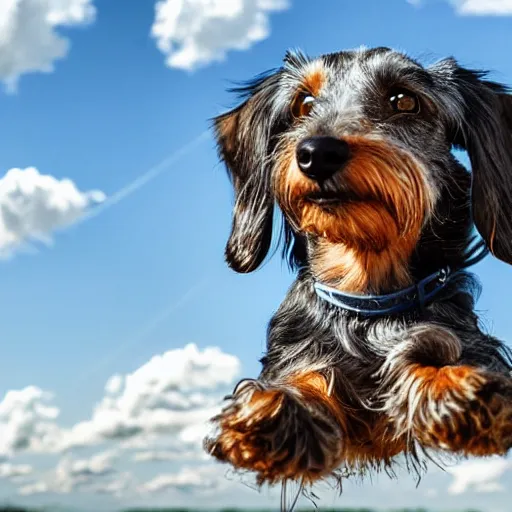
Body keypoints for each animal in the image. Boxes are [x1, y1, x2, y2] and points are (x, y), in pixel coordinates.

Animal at [204, 47, 512, 488]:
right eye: (304, 104)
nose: (317, 153)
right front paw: (274, 411)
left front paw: (456, 387)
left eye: (404, 100)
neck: (366, 301)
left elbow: (433, 352)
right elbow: (305, 376)